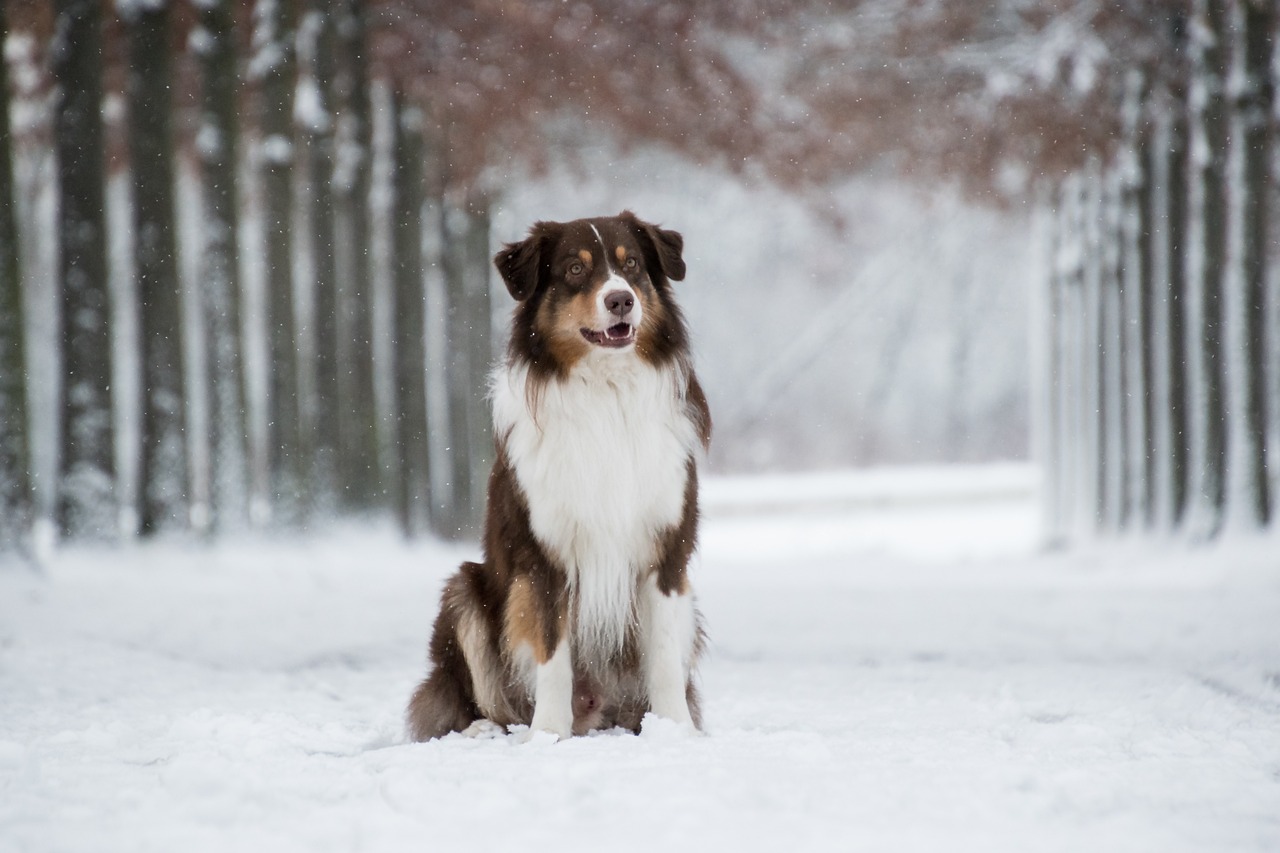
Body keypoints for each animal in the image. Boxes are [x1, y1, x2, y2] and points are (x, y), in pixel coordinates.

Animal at [404, 207, 711, 737]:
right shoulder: (543, 555)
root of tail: (597, 711)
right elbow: (552, 657)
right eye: (575, 269)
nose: (620, 300)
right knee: (478, 699)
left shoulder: (667, 550)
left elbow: (665, 658)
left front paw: (676, 730)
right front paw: (548, 737)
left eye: (632, 265)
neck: (607, 390)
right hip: (464, 590)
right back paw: (486, 729)